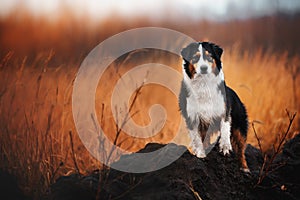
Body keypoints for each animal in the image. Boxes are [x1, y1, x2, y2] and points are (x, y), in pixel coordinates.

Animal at [179, 41, 250, 172]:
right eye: (195, 58)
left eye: (209, 57)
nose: (204, 68)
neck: (204, 84)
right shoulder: (192, 117)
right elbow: (197, 138)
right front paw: (200, 154)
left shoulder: (224, 111)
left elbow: (225, 129)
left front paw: (225, 147)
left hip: (240, 125)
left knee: (241, 148)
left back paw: (244, 168)